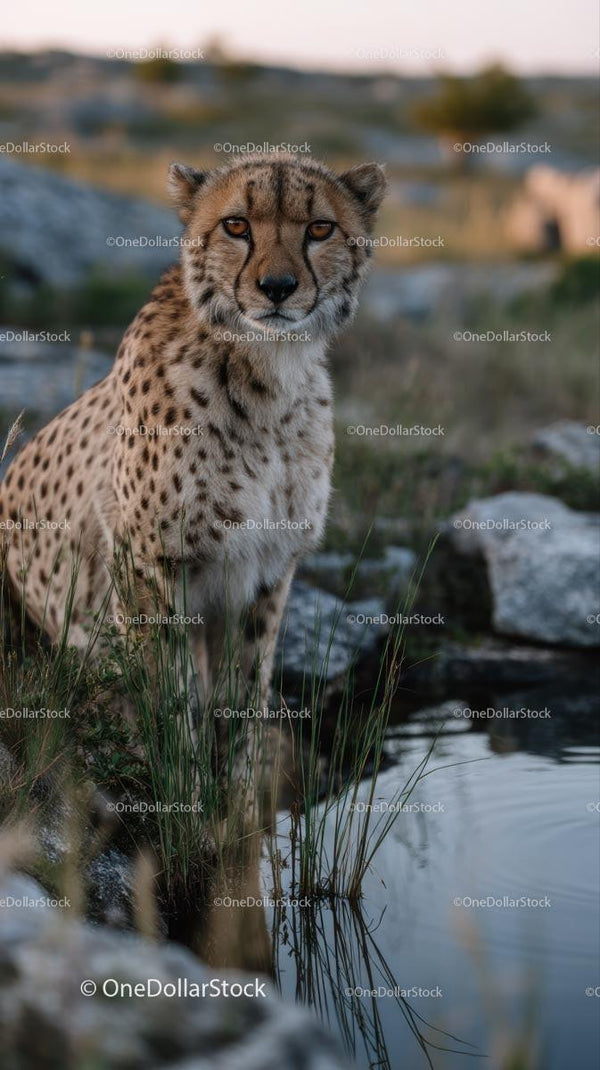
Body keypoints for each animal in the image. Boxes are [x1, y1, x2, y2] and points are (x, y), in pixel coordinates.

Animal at [0, 152, 386, 806]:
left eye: (319, 229)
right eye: (236, 225)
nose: (277, 288)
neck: (266, 375)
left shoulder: (267, 566)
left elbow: (245, 693)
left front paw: (237, 804)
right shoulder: (148, 563)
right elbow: (171, 696)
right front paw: (184, 796)